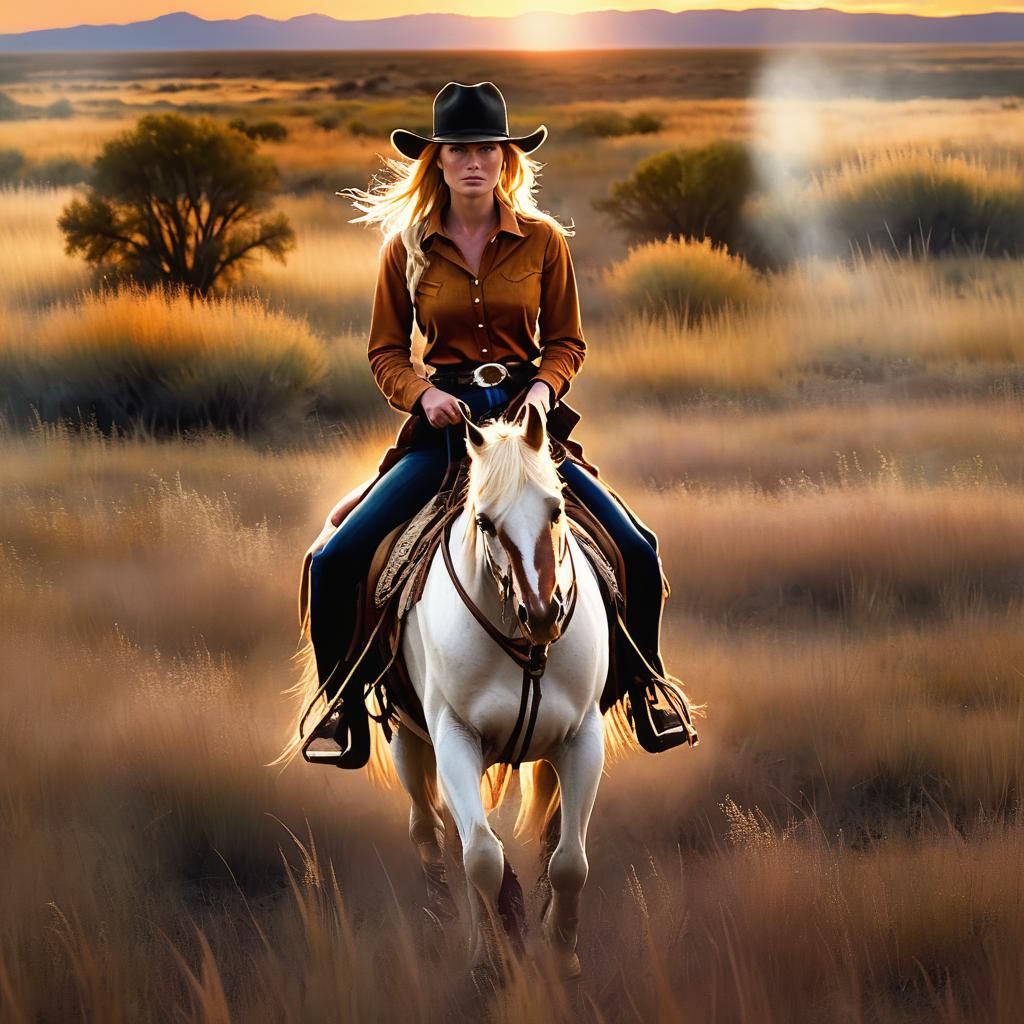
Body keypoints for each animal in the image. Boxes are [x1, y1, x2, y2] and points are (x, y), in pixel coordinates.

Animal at [278, 402, 631, 977]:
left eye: (556, 509)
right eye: (484, 520)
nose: (542, 615)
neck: (525, 648)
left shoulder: (581, 738)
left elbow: (568, 861)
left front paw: (563, 956)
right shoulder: (455, 739)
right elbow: (482, 858)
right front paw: (494, 958)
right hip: (408, 737)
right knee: (430, 828)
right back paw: (443, 919)